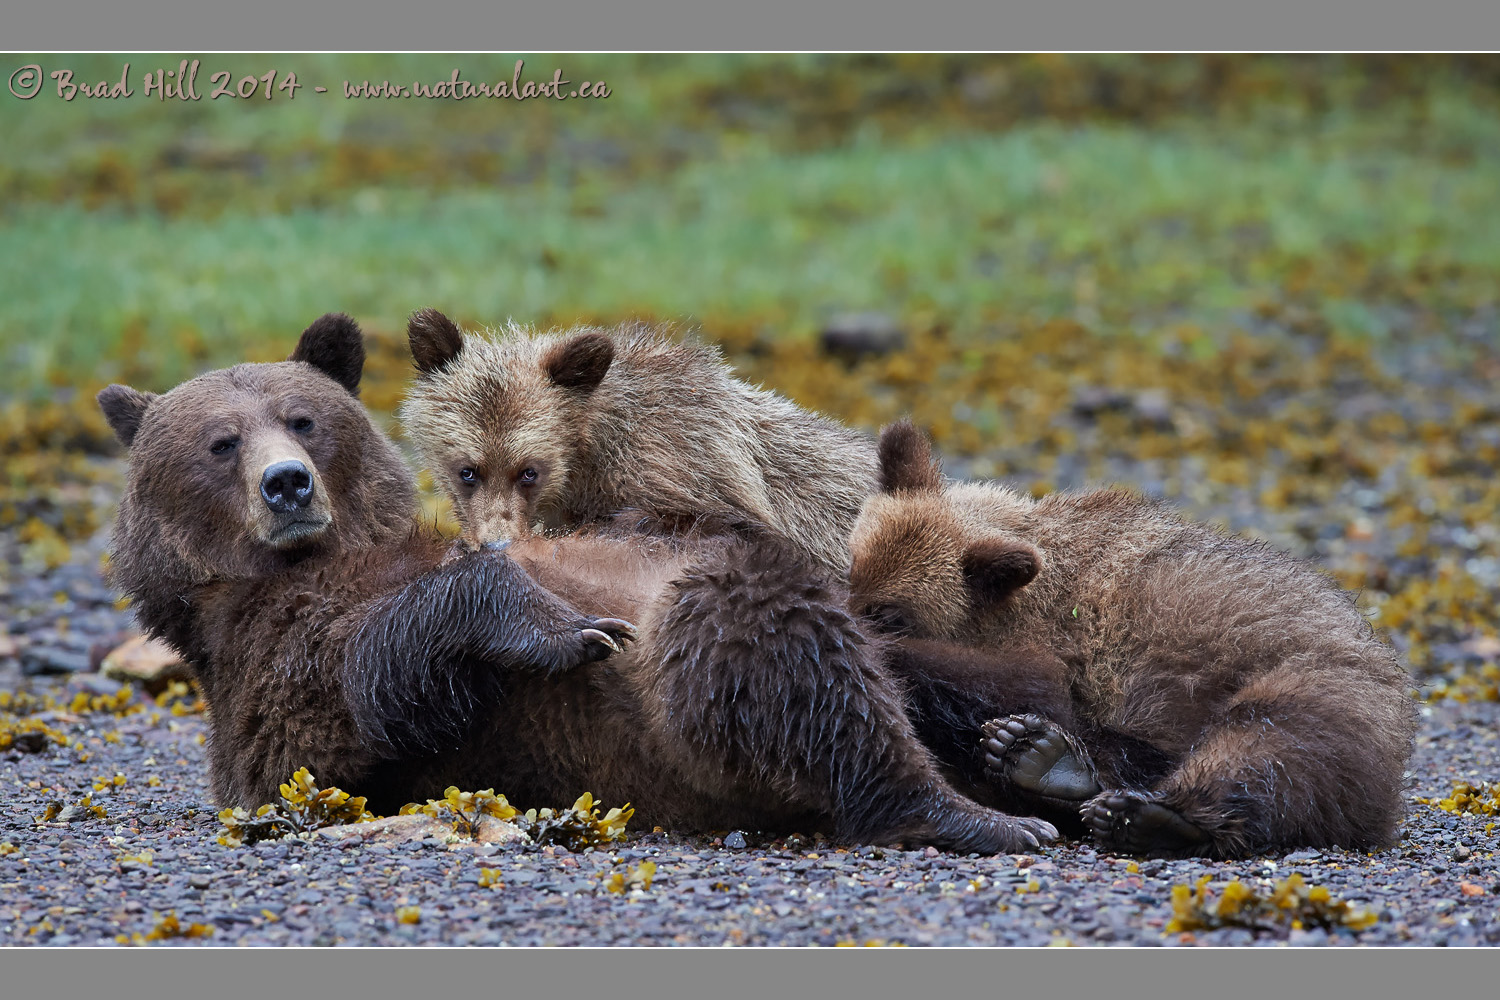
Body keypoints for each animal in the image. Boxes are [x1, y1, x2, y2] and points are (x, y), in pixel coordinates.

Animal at [96, 314, 1056, 851]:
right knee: (771, 644)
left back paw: (1047, 760)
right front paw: (564, 625)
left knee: (928, 670)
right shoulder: (275, 654)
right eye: (220, 442)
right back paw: (978, 808)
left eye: (300, 418)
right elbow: (374, 686)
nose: (287, 483)